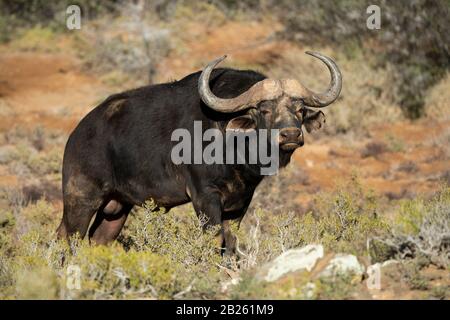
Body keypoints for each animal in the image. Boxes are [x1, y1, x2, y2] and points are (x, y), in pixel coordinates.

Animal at [58, 51, 342, 254]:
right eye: (264, 109)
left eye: (300, 109)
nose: (291, 135)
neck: (234, 149)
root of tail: (77, 134)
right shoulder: (205, 197)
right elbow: (215, 240)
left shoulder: (240, 202)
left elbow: (231, 243)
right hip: (81, 199)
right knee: (67, 237)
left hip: (116, 208)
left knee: (98, 240)